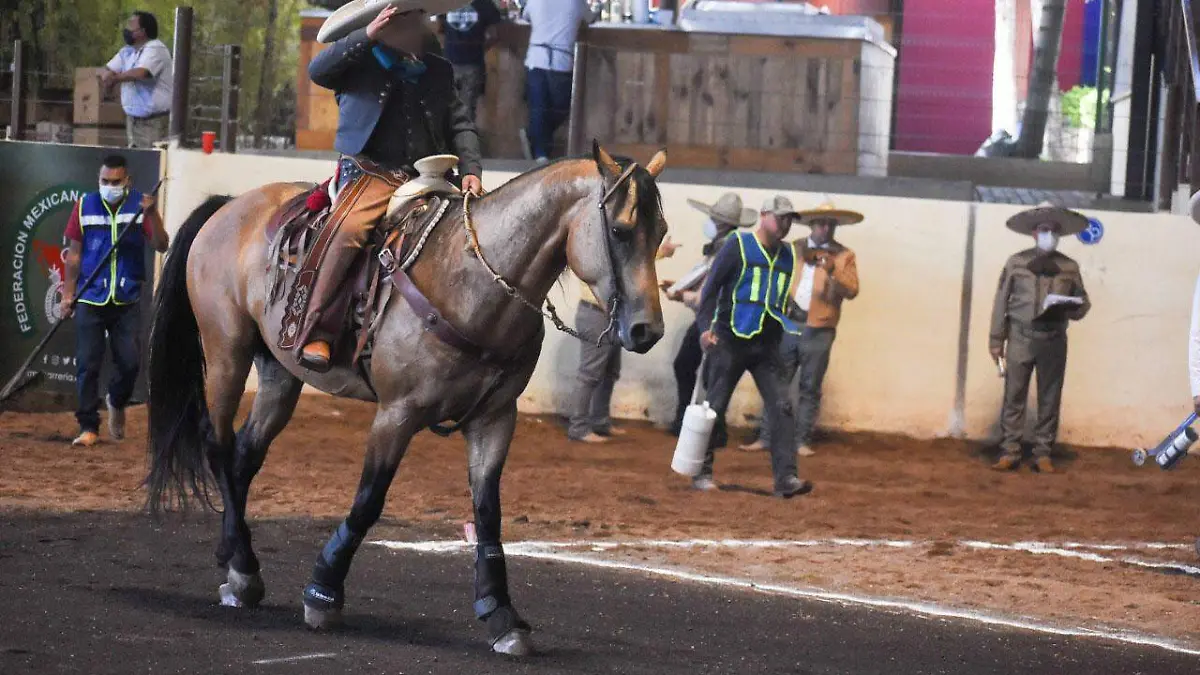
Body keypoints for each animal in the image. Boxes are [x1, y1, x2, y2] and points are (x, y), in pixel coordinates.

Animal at [145, 141, 672, 653]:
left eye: (661, 231)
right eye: (621, 230)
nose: (647, 330)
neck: (470, 285)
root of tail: (230, 205)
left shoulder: (495, 419)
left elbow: (488, 514)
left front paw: (501, 614)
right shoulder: (397, 414)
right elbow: (369, 501)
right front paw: (323, 592)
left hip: (279, 372)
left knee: (244, 456)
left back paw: (235, 560)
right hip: (226, 350)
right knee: (218, 446)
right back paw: (245, 573)